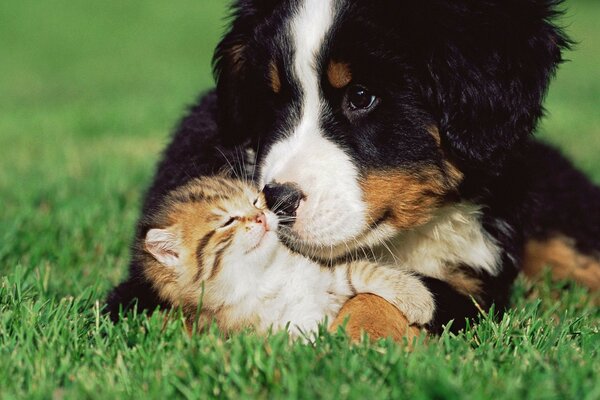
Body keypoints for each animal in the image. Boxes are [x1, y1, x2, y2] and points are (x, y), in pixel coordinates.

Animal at [138, 177, 434, 336]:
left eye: (255, 201)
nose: (260, 217)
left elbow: (359, 271)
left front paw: (416, 298)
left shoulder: (324, 276)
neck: (266, 274)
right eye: (227, 221)